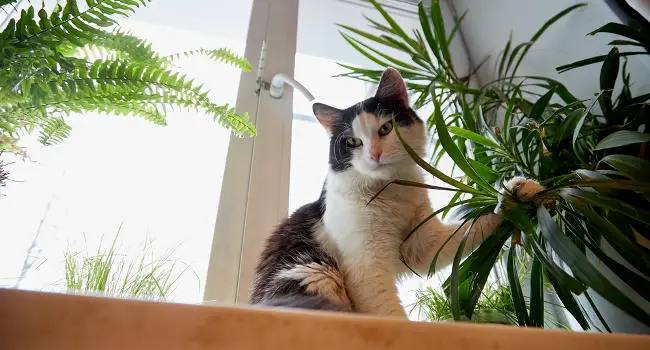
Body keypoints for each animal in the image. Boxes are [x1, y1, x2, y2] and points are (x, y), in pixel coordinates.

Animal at [246, 67, 540, 316]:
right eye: (353, 141)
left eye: (386, 128)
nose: (375, 154)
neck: (389, 192)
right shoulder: (366, 266)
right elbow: (388, 311)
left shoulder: (422, 245)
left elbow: (471, 227)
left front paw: (514, 194)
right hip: (310, 271)